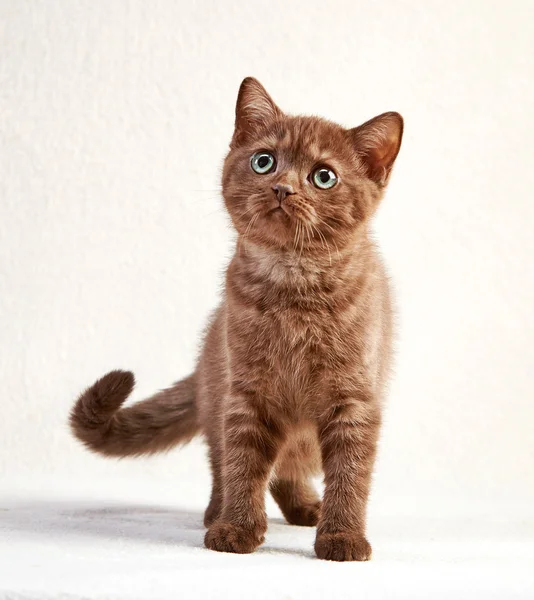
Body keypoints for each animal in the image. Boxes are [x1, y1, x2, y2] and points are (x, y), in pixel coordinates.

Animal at [72, 77, 406, 560]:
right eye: (264, 161)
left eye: (323, 176)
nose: (283, 188)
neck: (293, 285)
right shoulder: (246, 394)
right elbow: (243, 464)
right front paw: (236, 529)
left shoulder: (354, 400)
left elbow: (350, 473)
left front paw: (342, 537)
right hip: (217, 395)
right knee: (223, 464)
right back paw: (218, 512)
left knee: (289, 467)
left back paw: (307, 508)